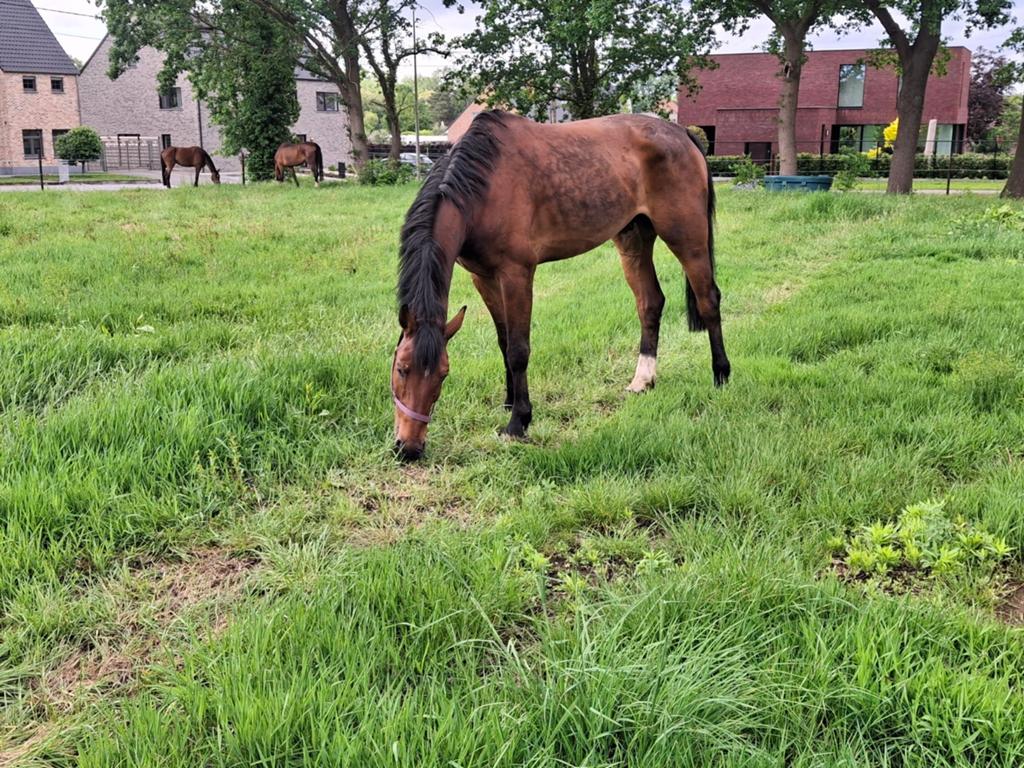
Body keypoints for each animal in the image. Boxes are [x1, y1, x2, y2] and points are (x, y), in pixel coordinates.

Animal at [391, 110, 729, 461]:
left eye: (443, 373)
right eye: (401, 368)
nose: (409, 448)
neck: (483, 186)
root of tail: (682, 133)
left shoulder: (517, 274)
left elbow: (518, 349)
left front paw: (519, 421)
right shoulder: (482, 277)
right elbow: (503, 341)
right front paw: (509, 401)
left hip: (687, 238)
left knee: (708, 299)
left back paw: (720, 375)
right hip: (633, 239)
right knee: (650, 303)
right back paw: (643, 380)